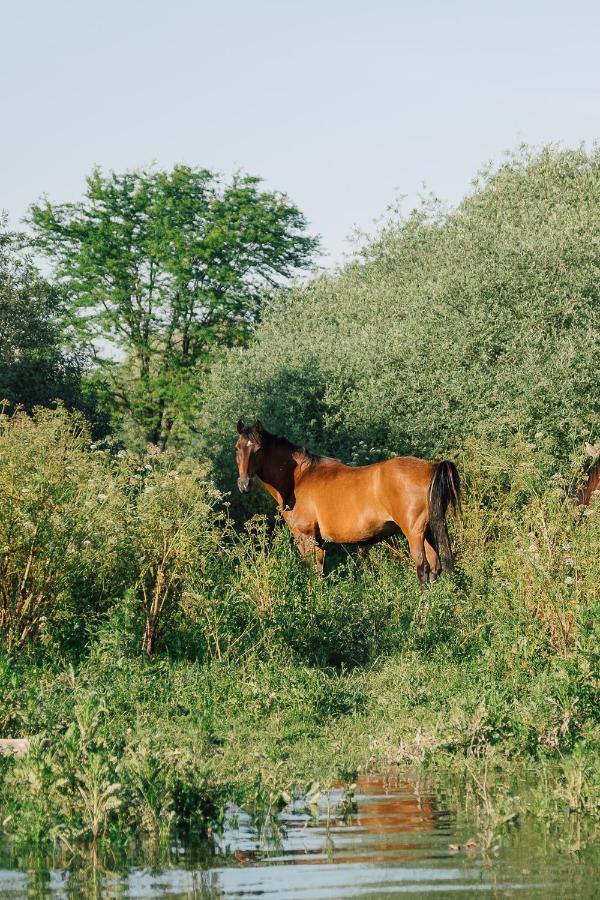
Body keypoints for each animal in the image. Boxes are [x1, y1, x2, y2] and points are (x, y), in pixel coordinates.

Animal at [234, 420, 460, 584]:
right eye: (237, 448)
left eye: (258, 450)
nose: (243, 484)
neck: (299, 478)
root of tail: (430, 467)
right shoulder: (319, 542)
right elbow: (318, 571)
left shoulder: (305, 537)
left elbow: (312, 572)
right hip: (428, 531)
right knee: (435, 567)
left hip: (414, 533)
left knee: (423, 569)